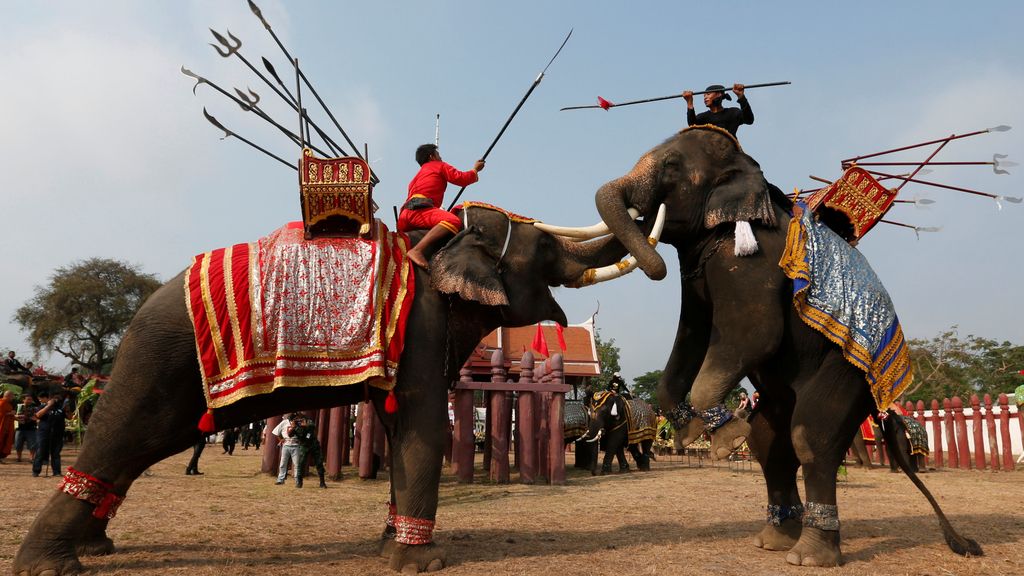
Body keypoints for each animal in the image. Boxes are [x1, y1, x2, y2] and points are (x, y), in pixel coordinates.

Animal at [14, 203, 644, 576]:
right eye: (546, 250)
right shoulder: (420, 328)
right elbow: (422, 426)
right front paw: (424, 562)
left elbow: (400, 427)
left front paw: (390, 545)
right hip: (162, 360)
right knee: (125, 435)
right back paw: (50, 566)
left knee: (137, 449)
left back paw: (94, 548)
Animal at [589, 125, 981, 567]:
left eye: (671, 165)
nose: (654, 268)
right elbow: (693, 332)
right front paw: (691, 432)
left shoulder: (753, 258)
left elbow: (755, 332)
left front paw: (724, 442)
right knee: (769, 443)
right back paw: (774, 540)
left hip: (849, 371)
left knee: (811, 436)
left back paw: (808, 556)